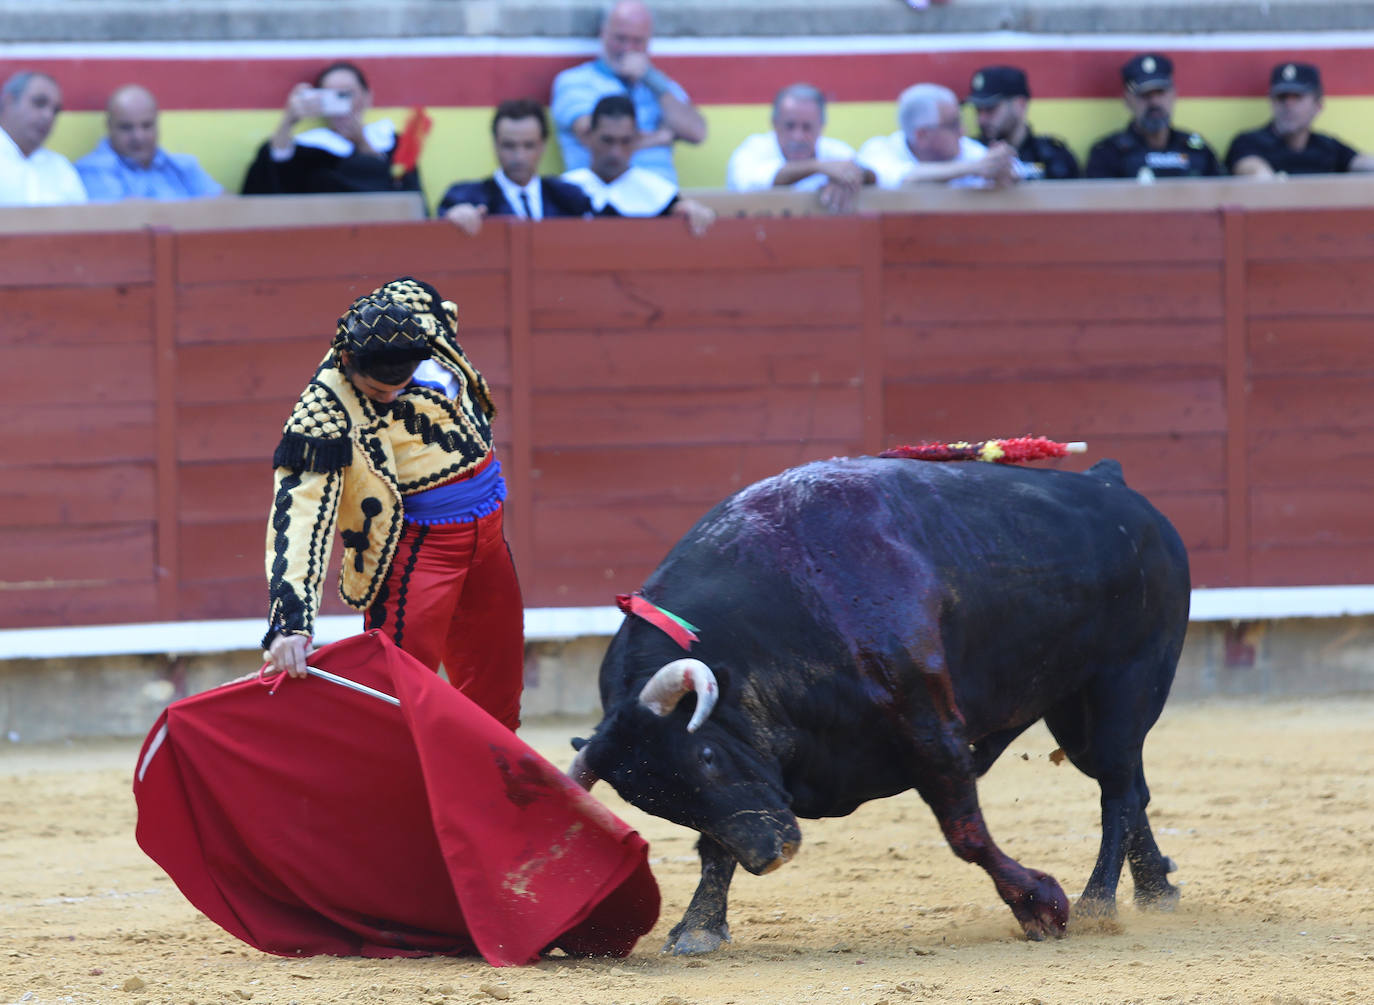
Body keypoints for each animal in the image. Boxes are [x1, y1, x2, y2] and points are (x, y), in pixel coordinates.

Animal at [568, 456, 1192, 951]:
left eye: (705, 758)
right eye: (657, 804)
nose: (772, 854)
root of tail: (1109, 482)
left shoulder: (931, 730)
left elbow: (965, 833)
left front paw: (1040, 906)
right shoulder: (759, 778)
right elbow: (714, 843)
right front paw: (698, 929)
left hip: (1123, 686)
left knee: (1117, 792)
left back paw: (1096, 905)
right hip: (1071, 711)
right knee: (1129, 787)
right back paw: (1156, 888)